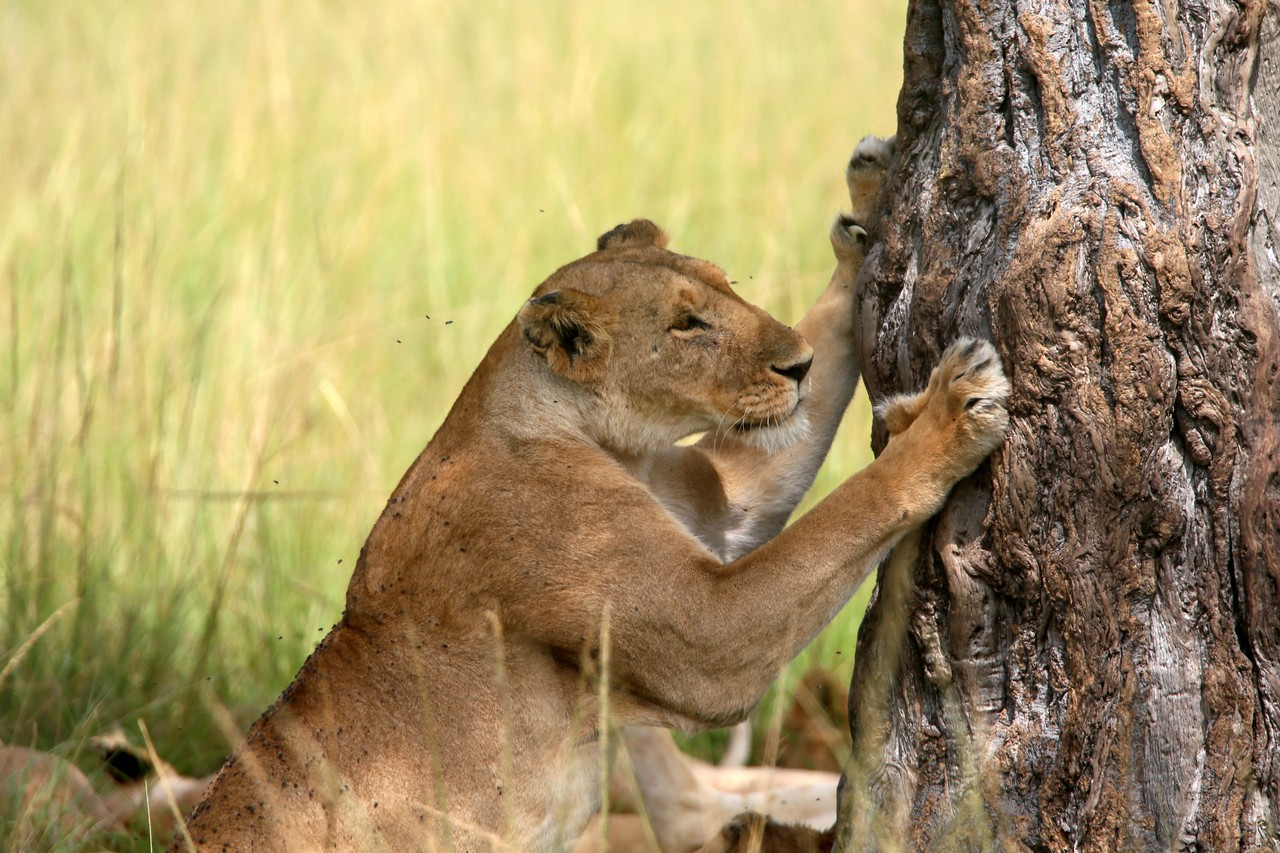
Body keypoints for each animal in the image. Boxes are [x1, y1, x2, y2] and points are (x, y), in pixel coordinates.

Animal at [183, 136, 1008, 845]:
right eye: (686, 325)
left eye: (722, 284)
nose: (797, 365)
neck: (609, 444)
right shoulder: (703, 634)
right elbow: (850, 509)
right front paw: (950, 414)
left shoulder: (715, 501)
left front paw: (869, 197)